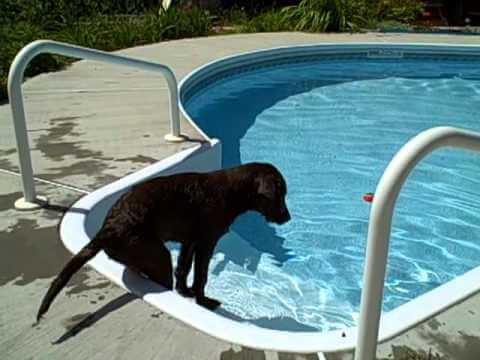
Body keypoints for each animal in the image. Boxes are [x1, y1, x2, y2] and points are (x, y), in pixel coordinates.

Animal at [36, 163, 288, 320]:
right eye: (280, 195)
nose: (288, 218)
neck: (231, 191)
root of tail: (107, 228)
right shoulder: (206, 243)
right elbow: (201, 276)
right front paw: (203, 302)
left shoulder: (189, 241)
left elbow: (184, 269)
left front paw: (184, 292)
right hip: (157, 256)